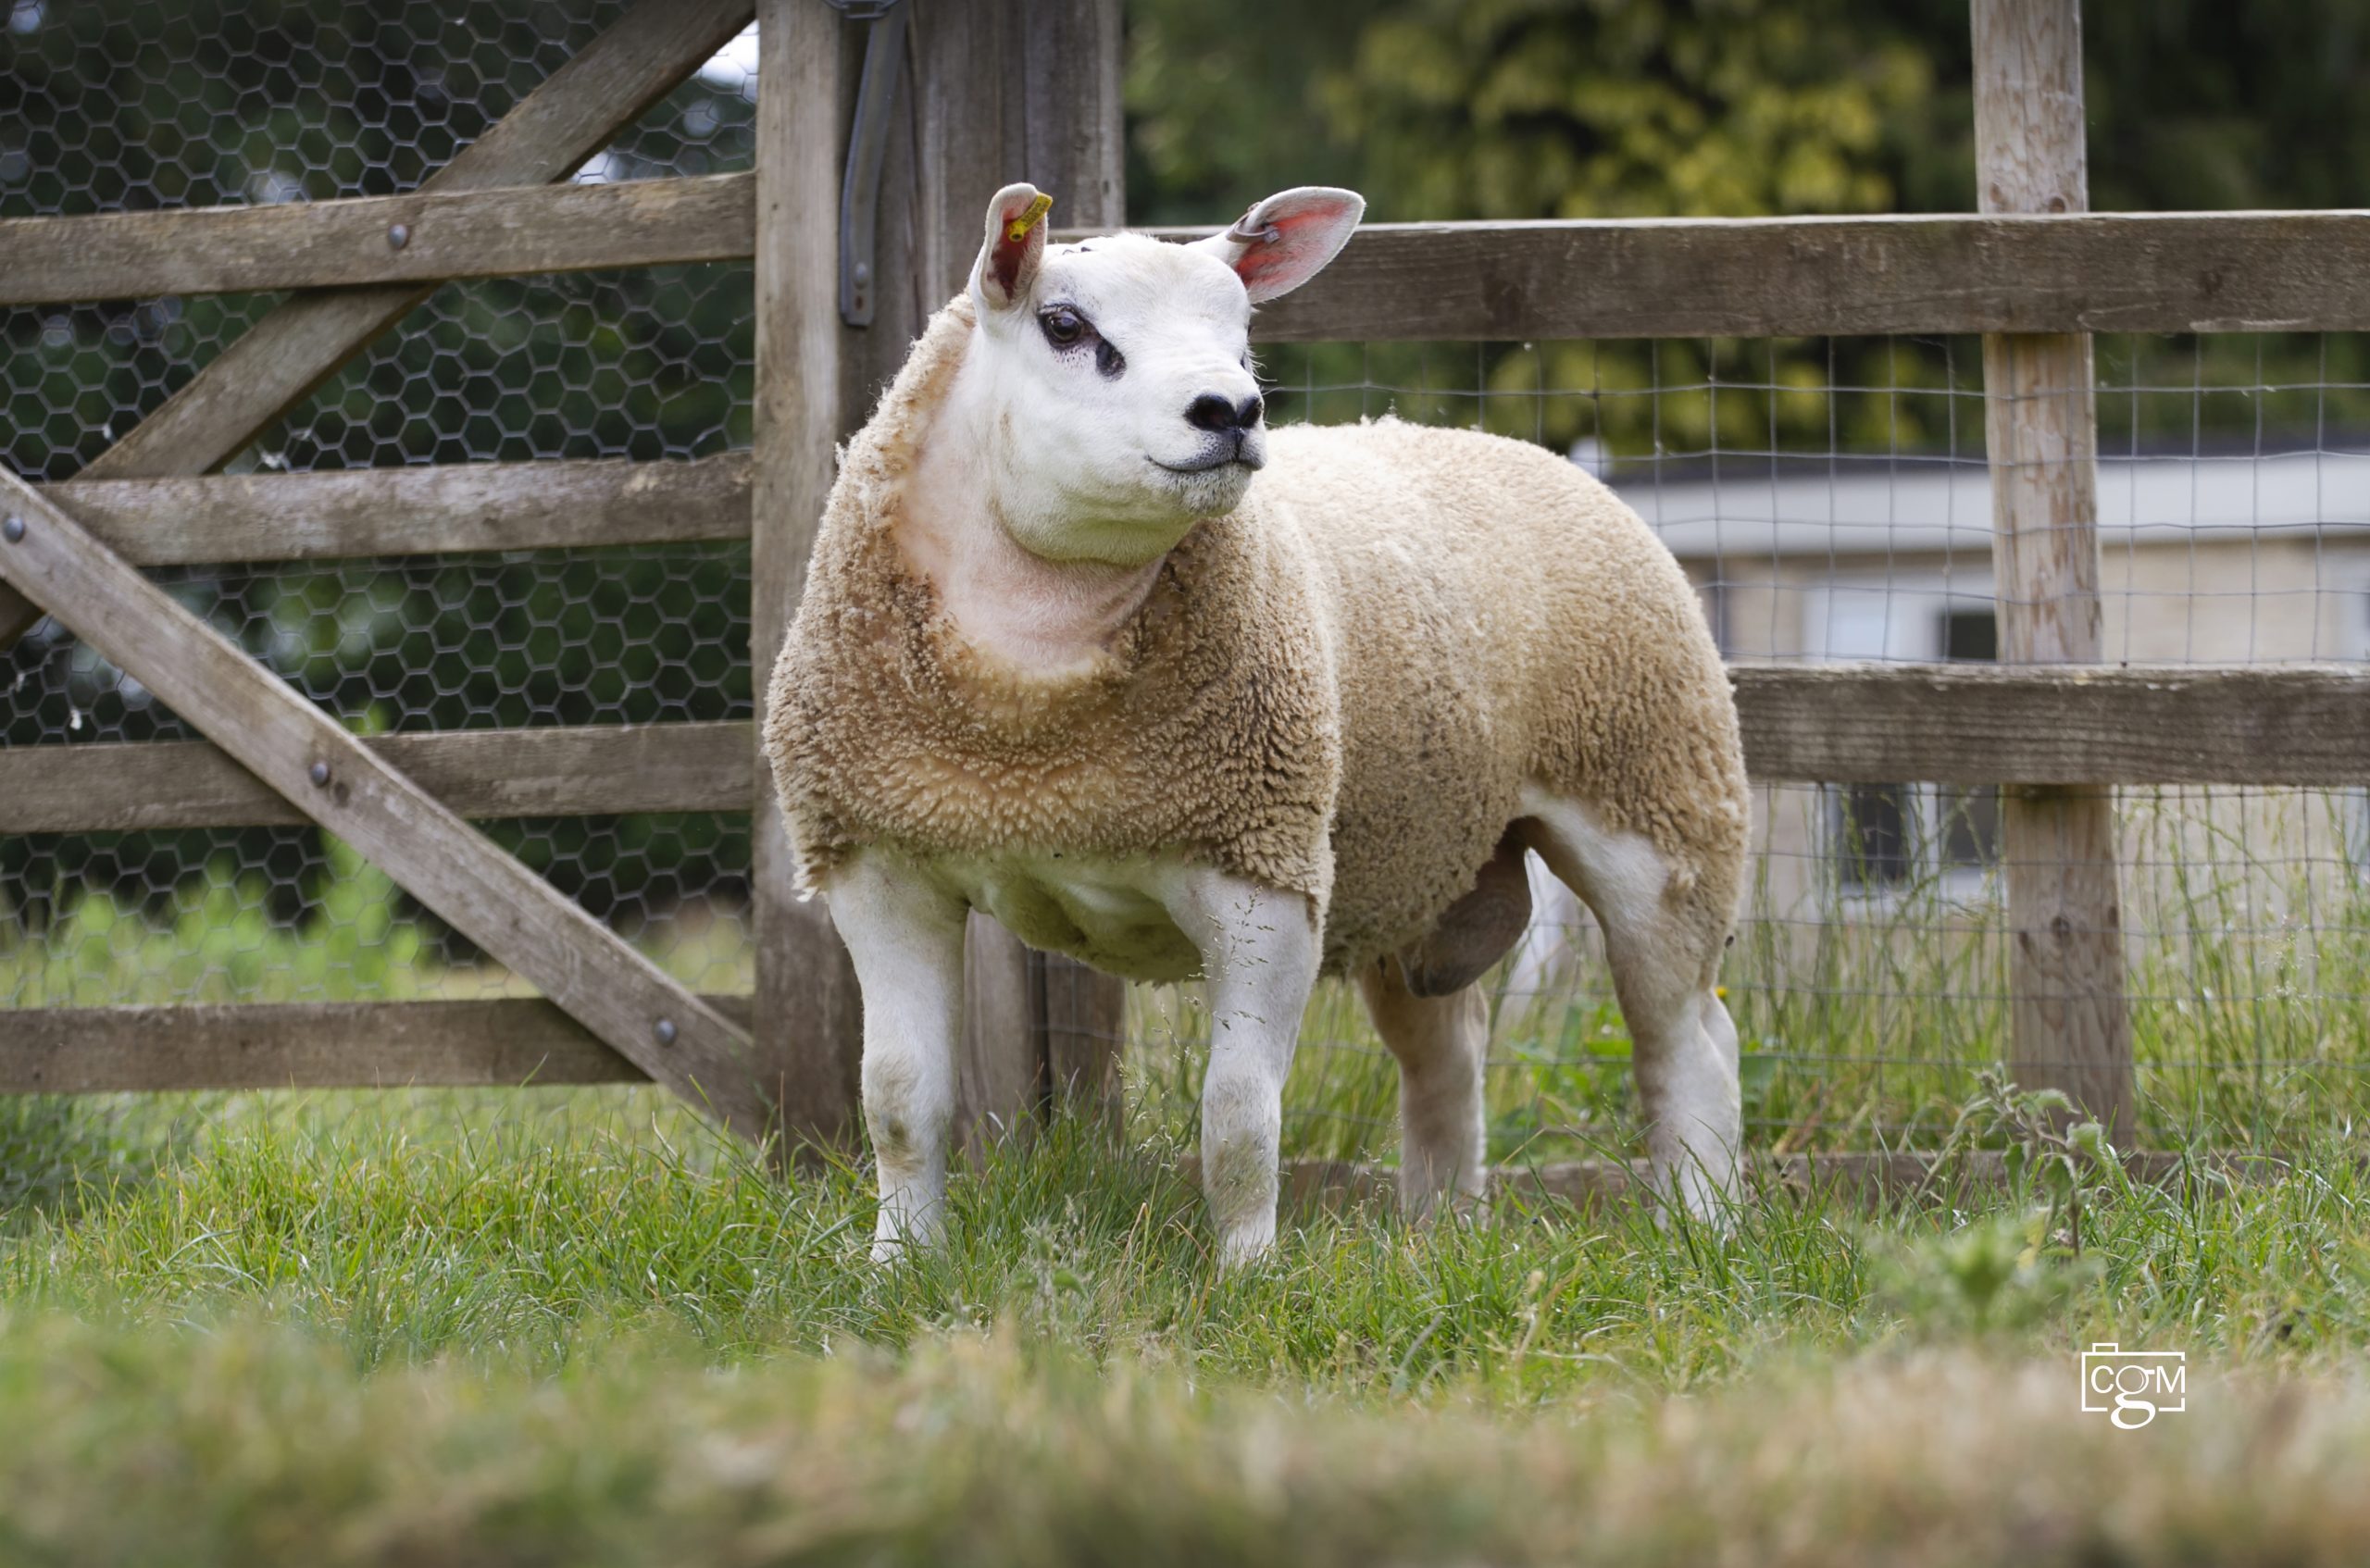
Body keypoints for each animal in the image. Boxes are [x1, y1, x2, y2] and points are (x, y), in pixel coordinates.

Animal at [765, 181, 1752, 1265]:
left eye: (1242, 338)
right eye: (1065, 326)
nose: (1231, 411)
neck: (1030, 737)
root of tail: (1516, 447)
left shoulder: (1264, 874)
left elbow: (1238, 1119)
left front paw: (1245, 1275)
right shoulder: (879, 858)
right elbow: (900, 1101)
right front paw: (901, 1267)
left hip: (1658, 804)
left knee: (1689, 1043)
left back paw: (1703, 1228)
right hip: (1419, 864)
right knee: (1449, 1055)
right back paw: (1438, 1236)